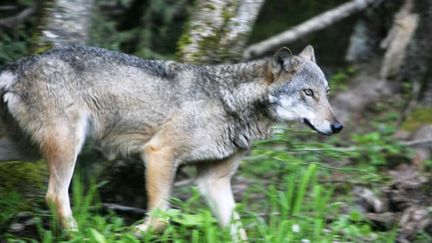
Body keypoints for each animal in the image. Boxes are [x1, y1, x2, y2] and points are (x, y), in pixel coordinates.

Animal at [0, 44, 340, 238]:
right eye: (308, 93)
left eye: (326, 93)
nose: (337, 126)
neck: (229, 103)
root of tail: (21, 64)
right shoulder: (159, 153)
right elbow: (160, 219)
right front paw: (131, 234)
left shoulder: (214, 181)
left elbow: (238, 231)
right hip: (67, 148)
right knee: (55, 196)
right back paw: (78, 235)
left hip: (26, 150)